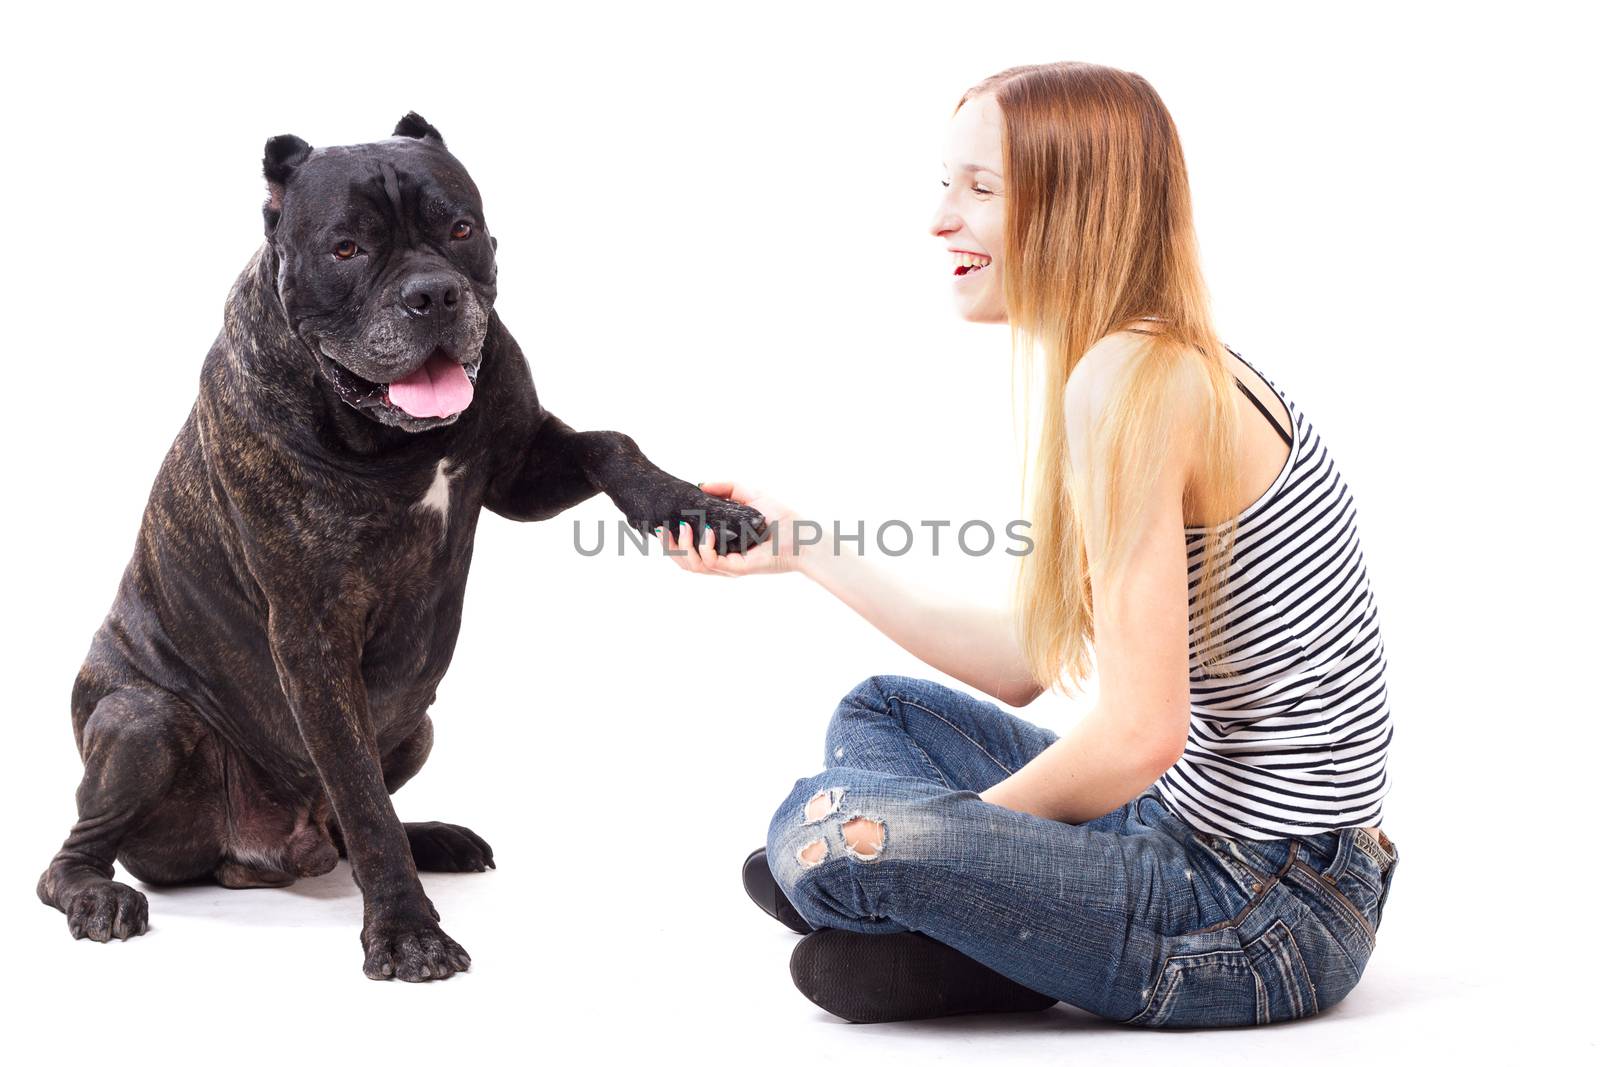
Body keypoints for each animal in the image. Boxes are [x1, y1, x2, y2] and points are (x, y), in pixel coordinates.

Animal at [34, 115, 764, 985]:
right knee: (84, 848)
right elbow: (362, 797)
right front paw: (406, 930)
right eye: (346, 248)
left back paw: (434, 837)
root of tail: (256, 856)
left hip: (416, 724)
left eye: (460, 230)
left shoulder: (518, 467)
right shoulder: (313, 640)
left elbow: (609, 442)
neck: (393, 441)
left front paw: (694, 509)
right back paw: (96, 895)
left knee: (348, 820)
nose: (434, 293)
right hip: (142, 722)